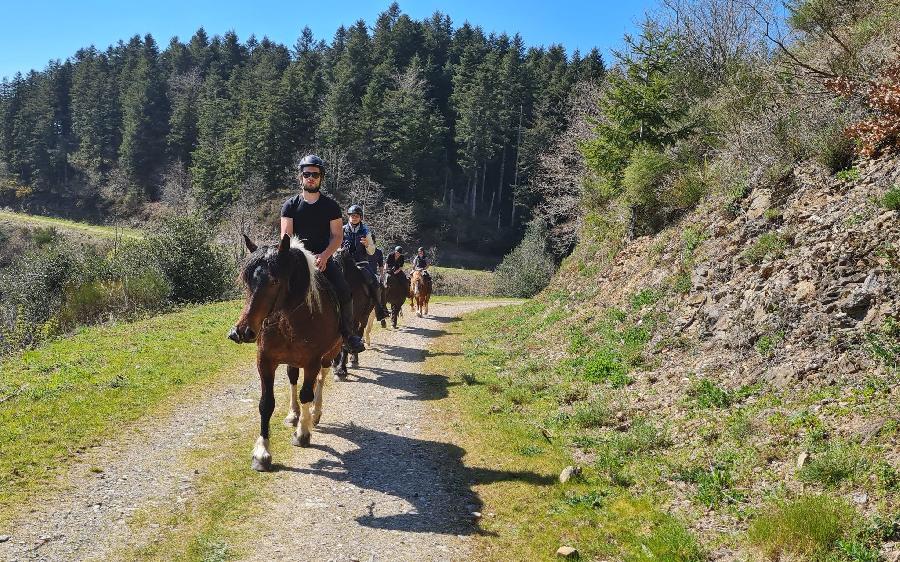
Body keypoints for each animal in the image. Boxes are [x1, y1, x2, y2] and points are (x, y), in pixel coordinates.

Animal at [230, 234, 342, 470]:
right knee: (293, 378)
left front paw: (302, 433)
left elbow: (307, 393)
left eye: (274, 281)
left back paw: (314, 413)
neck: (288, 319)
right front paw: (262, 452)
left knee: (321, 379)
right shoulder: (265, 361)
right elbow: (266, 404)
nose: (243, 331)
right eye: (247, 281)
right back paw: (294, 414)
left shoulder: (312, 361)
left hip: (329, 354)